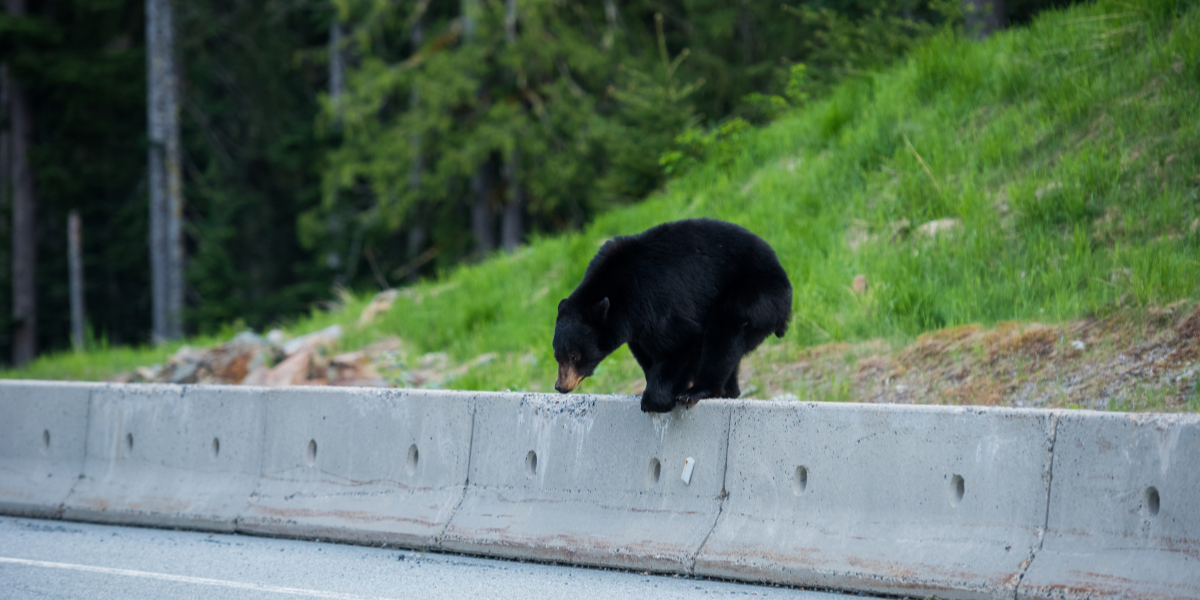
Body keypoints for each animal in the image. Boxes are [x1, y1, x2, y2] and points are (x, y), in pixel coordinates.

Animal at [554, 219, 796, 412]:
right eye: (557, 355)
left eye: (574, 356)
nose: (560, 386)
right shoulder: (635, 327)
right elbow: (645, 352)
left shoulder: (653, 301)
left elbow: (685, 341)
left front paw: (656, 398)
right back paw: (727, 391)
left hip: (758, 292)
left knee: (725, 327)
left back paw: (698, 390)